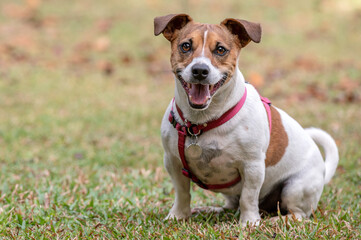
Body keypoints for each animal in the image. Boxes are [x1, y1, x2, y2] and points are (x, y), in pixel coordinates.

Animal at [154, 13, 338, 227]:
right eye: (185, 46)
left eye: (220, 49)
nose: (200, 70)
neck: (202, 122)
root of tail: (323, 171)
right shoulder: (173, 162)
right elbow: (182, 193)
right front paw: (178, 216)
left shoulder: (253, 167)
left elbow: (248, 197)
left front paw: (249, 223)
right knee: (230, 206)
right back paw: (210, 210)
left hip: (294, 188)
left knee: (298, 214)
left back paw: (275, 220)